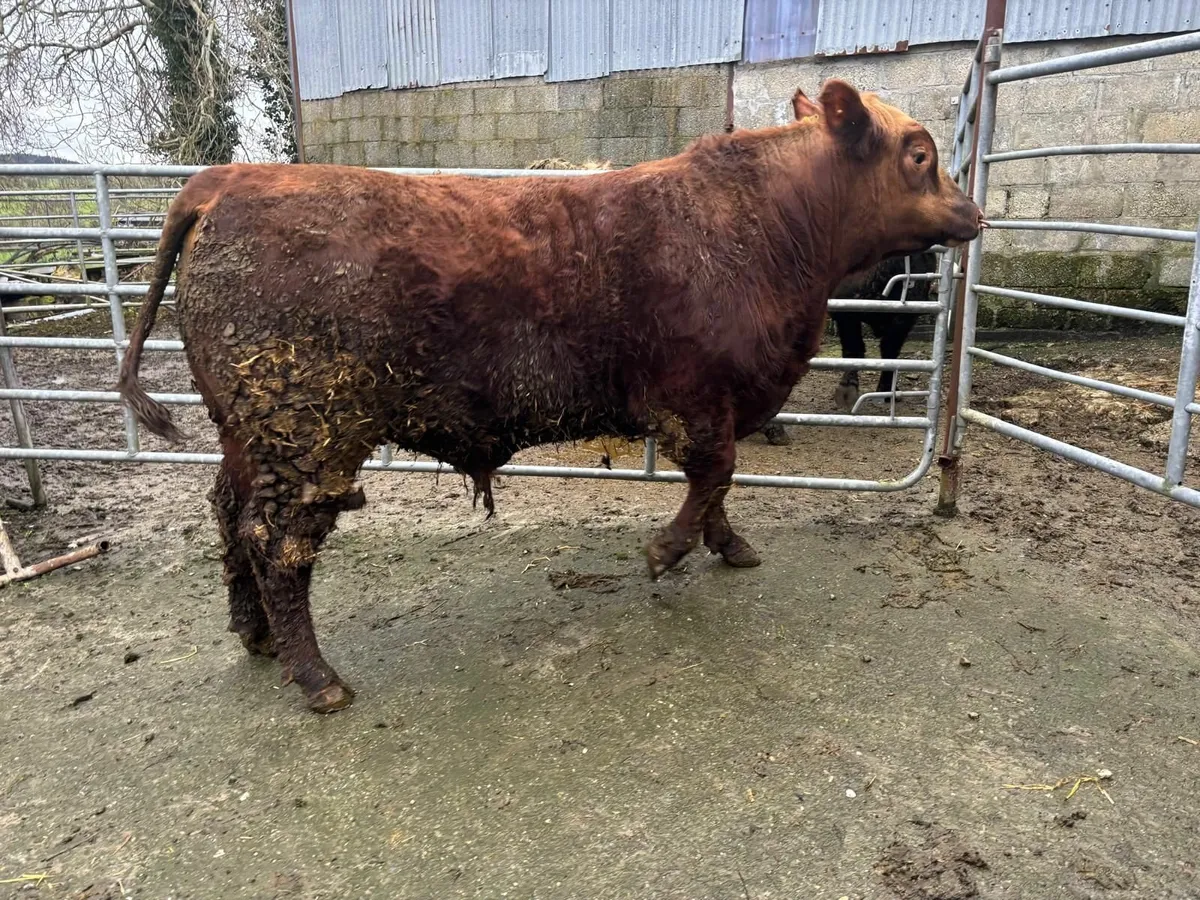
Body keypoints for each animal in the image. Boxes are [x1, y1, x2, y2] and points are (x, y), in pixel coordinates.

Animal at [760, 250, 939, 446]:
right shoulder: (845, 309)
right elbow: (855, 349)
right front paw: (848, 388)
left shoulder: (906, 316)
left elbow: (890, 352)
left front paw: (887, 389)